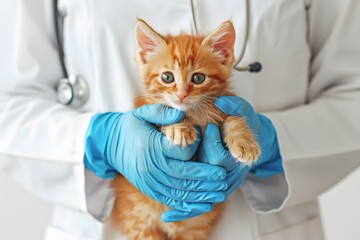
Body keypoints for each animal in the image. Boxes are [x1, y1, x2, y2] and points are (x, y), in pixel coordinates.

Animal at [109, 19, 258, 240]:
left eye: (198, 78)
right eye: (167, 77)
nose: (181, 95)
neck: (193, 114)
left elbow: (233, 119)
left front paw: (245, 143)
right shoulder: (147, 109)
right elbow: (165, 112)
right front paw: (179, 128)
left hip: (196, 228)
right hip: (140, 222)